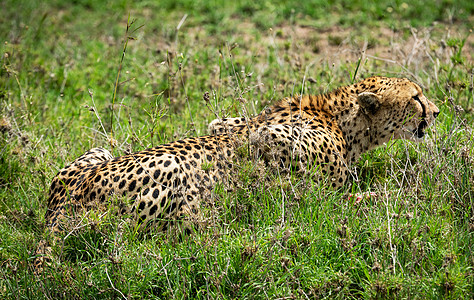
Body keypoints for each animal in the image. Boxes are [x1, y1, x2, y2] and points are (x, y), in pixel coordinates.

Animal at [35, 75, 438, 270]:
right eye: (416, 98)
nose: (436, 111)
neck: (342, 120)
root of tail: (59, 208)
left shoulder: (226, 123)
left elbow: (225, 126)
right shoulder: (271, 137)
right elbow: (332, 190)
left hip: (95, 154)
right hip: (169, 171)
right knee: (153, 235)